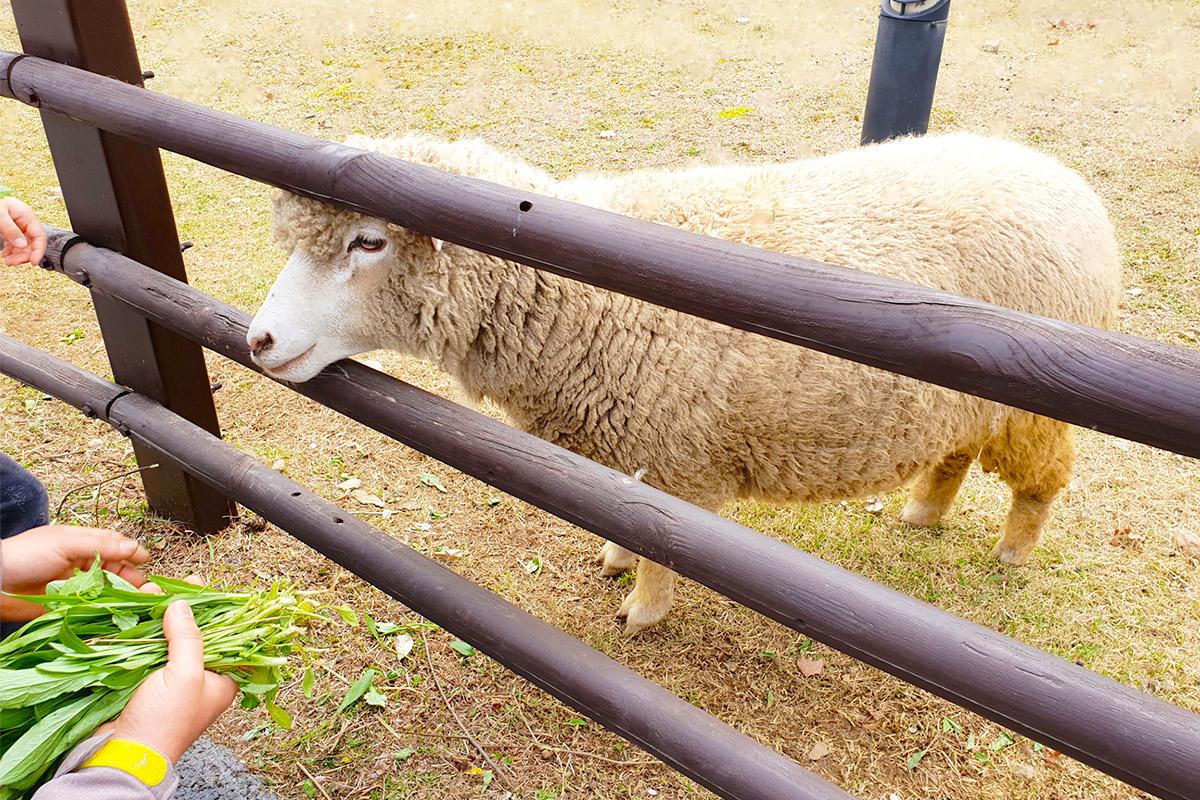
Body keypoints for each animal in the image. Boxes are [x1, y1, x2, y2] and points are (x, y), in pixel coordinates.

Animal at [248, 132, 1121, 635]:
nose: (259, 340)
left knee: (1042, 477)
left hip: (1029, 405)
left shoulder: (675, 462)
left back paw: (1012, 550)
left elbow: (656, 548)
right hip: (963, 400)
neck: (583, 299)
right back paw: (923, 512)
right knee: (954, 449)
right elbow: (622, 520)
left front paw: (642, 611)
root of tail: (1059, 177)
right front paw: (612, 557)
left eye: (369, 241)